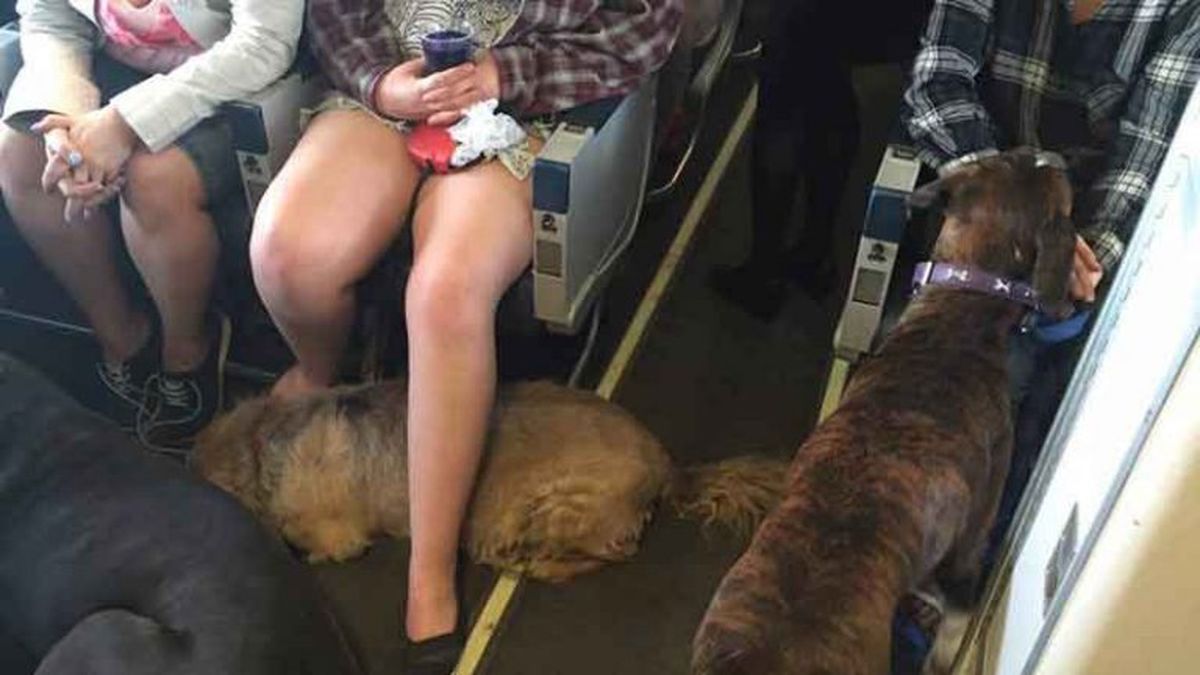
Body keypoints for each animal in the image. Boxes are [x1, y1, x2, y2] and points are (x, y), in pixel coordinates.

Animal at [192, 379, 782, 578]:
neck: (261, 443)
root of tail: (667, 465)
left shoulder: (334, 535)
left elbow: (315, 545)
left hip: (548, 508)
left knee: (610, 553)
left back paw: (534, 563)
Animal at [691, 148, 1075, 672]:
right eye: (1035, 163)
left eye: (1012, 156)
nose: (1055, 154)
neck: (959, 314)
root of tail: (765, 657)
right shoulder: (970, 544)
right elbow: (953, 626)